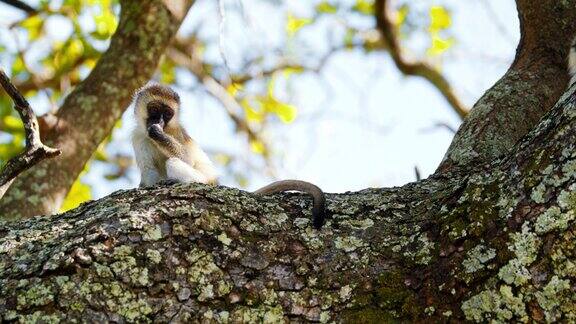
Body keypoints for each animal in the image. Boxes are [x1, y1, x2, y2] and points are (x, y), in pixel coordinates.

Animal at [132, 85, 326, 229]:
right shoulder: (138, 138)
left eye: (168, 114)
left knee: (175, 163)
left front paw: (158, 133)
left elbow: (187, 159)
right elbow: (149, 171)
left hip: (207, 180)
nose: (160, 122)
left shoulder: (176, 132)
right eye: (154, 110)